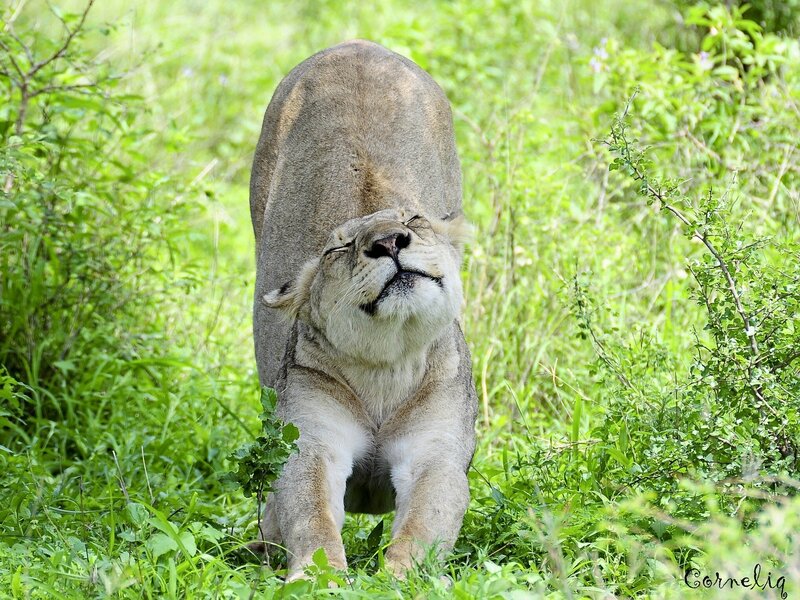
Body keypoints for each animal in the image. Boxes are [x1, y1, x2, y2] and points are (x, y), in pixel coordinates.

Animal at [249, 39, 478, 580]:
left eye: (412, 219)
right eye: (338, 248)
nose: (389, 242)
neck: (386, 367)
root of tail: (355, 45)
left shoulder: (436, 453)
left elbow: (423, 525)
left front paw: (399, 580)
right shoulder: (312, 442)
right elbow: (310, 514)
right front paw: (318, 579)